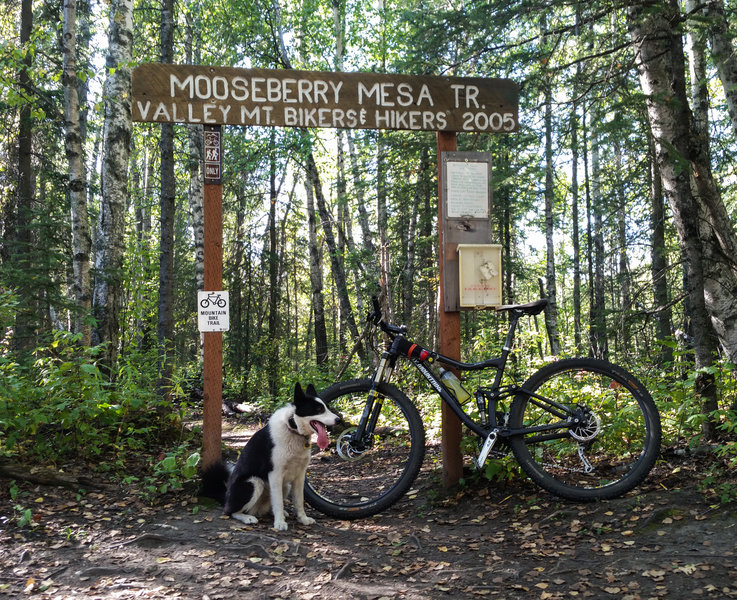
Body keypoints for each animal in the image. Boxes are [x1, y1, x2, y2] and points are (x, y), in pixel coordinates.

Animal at [201, 384, 340, 528]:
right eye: (318, 409)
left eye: (327, 407)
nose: (339, 420)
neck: (293, 428)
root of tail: (226, 497)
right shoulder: (275, 474)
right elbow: (278, 502)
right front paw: (279, 524)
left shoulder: (300, 476)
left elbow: (299, 501)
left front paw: (303, 519)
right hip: (254, 482)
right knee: (230, 511)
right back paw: (247, 517)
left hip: (285, 485)